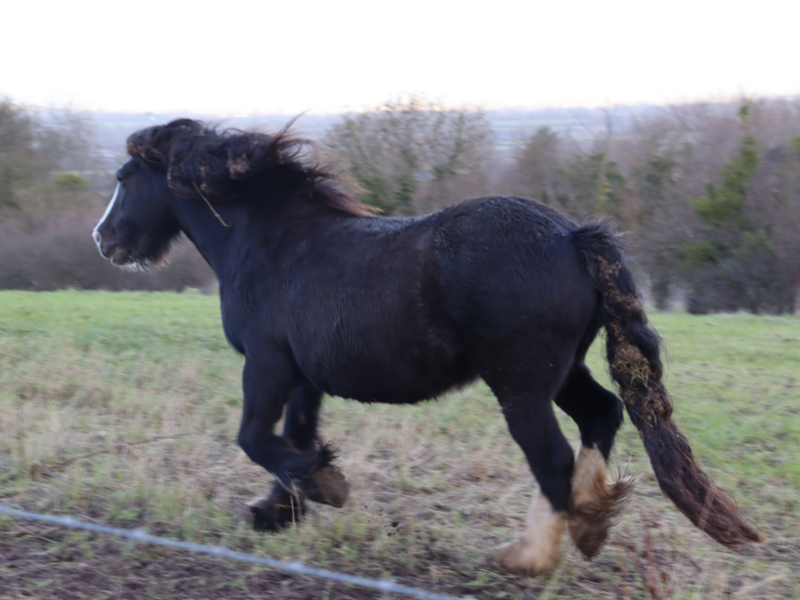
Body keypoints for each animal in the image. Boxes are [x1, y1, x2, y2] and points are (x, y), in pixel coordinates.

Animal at [92, 119, 761, 575]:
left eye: (125, 179)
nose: (104, 239)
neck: (270, 241)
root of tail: (574, 236)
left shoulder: (267, 366)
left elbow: (257, 439)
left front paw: (322, 489)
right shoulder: (304, 376)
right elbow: (295, 441)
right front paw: (279, 509)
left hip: (520, 386)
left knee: (553, 460)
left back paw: (526, 556)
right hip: (563, 371)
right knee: (602, 414)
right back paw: (591, 524)